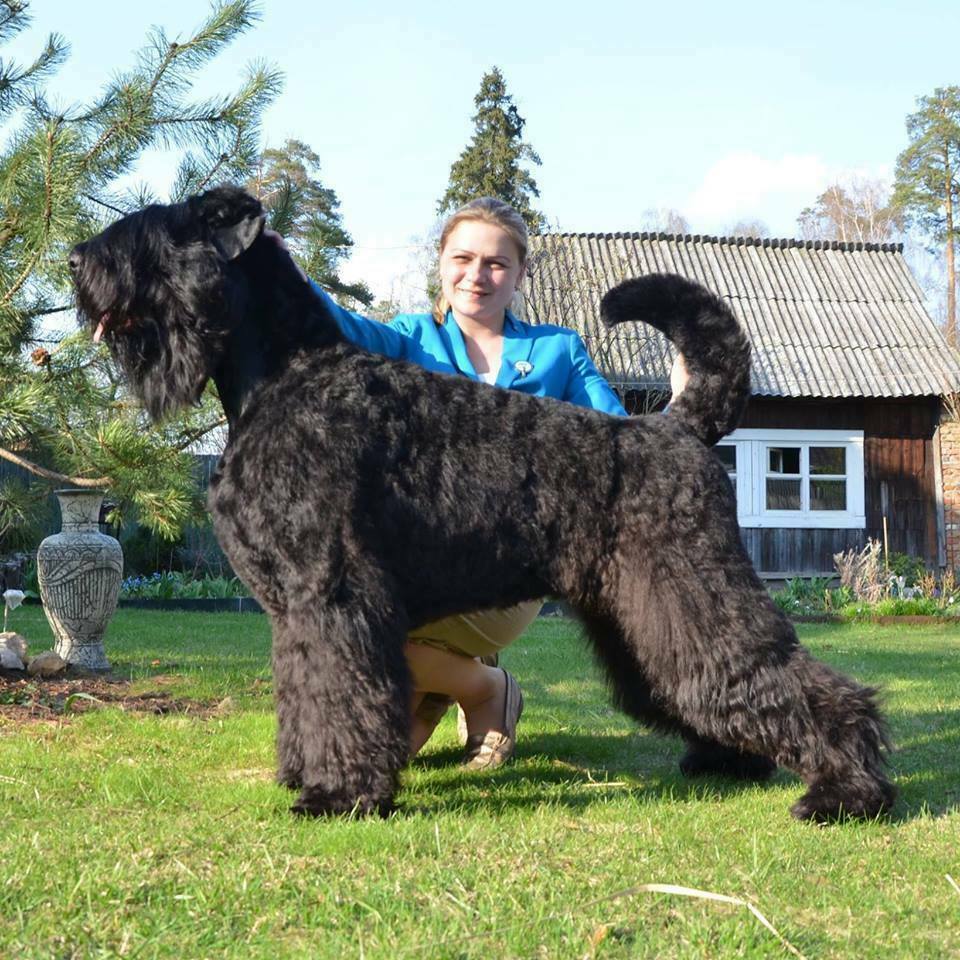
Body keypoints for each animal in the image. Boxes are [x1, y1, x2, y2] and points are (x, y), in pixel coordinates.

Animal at [69, 185, 896, 821]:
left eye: (153, 233)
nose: (77, 261)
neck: (288, 375)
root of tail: (677, 425)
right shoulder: (296, 610)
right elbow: (304, 691)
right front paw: (305, 774)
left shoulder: (332, 596)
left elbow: (337, 691)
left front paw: (337, 795)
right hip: (640, 614)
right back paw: (733, 762)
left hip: (693, 591)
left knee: (787, 677)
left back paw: (846, 790)